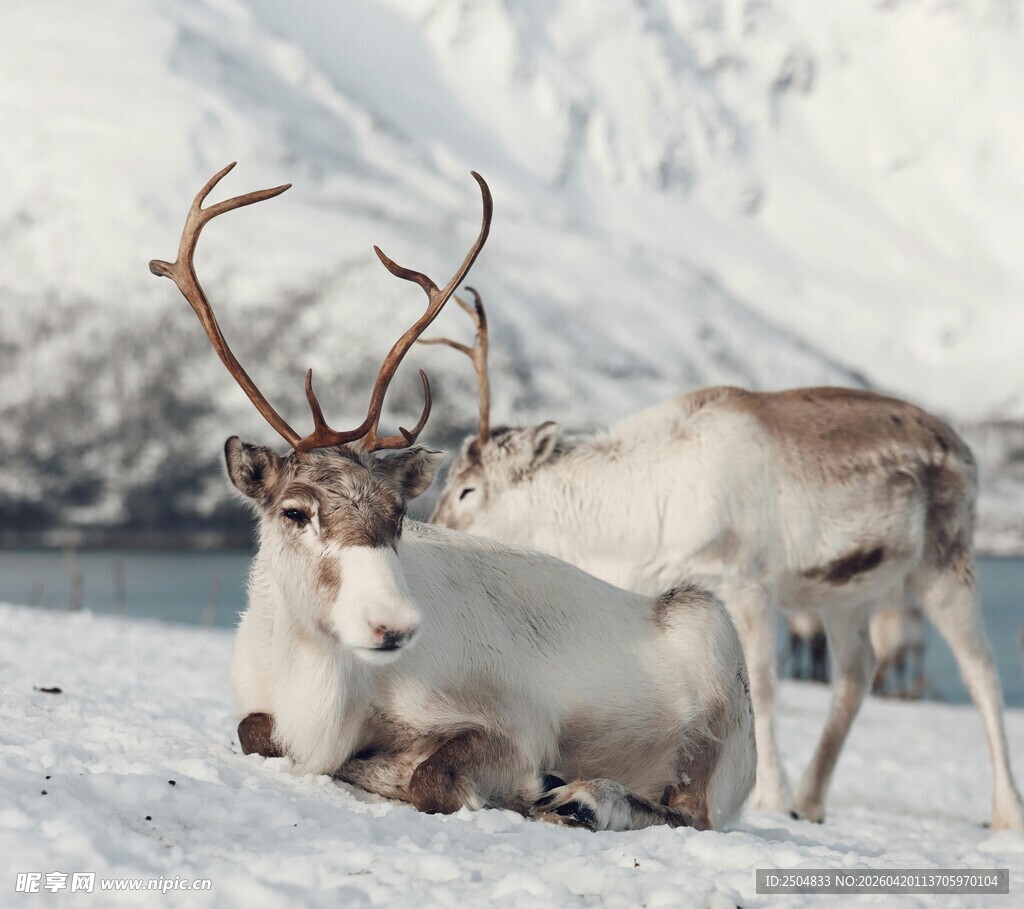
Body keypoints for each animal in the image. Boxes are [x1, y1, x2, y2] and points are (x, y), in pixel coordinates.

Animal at [147, 164, 756, 833]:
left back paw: (583, 799)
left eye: (398, 514)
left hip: (710, 650)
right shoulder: (263, 707)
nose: (393, 623)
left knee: (690, 811)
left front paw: (518, 787)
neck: (323, 685)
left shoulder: (516, 724)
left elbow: (429, 776)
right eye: (295, 511)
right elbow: (254, 732)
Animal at [422, 291, 1024, 832]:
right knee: (856, 673)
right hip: (845, 594)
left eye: (469, 489)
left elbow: (766, 684)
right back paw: (812, 801)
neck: (637, 519)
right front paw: (785, 799)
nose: (435, 525)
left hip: (946, 559)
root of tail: (964, 448)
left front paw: (770, 798)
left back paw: (1005, 814)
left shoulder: (747, 579)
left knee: (982, 673)